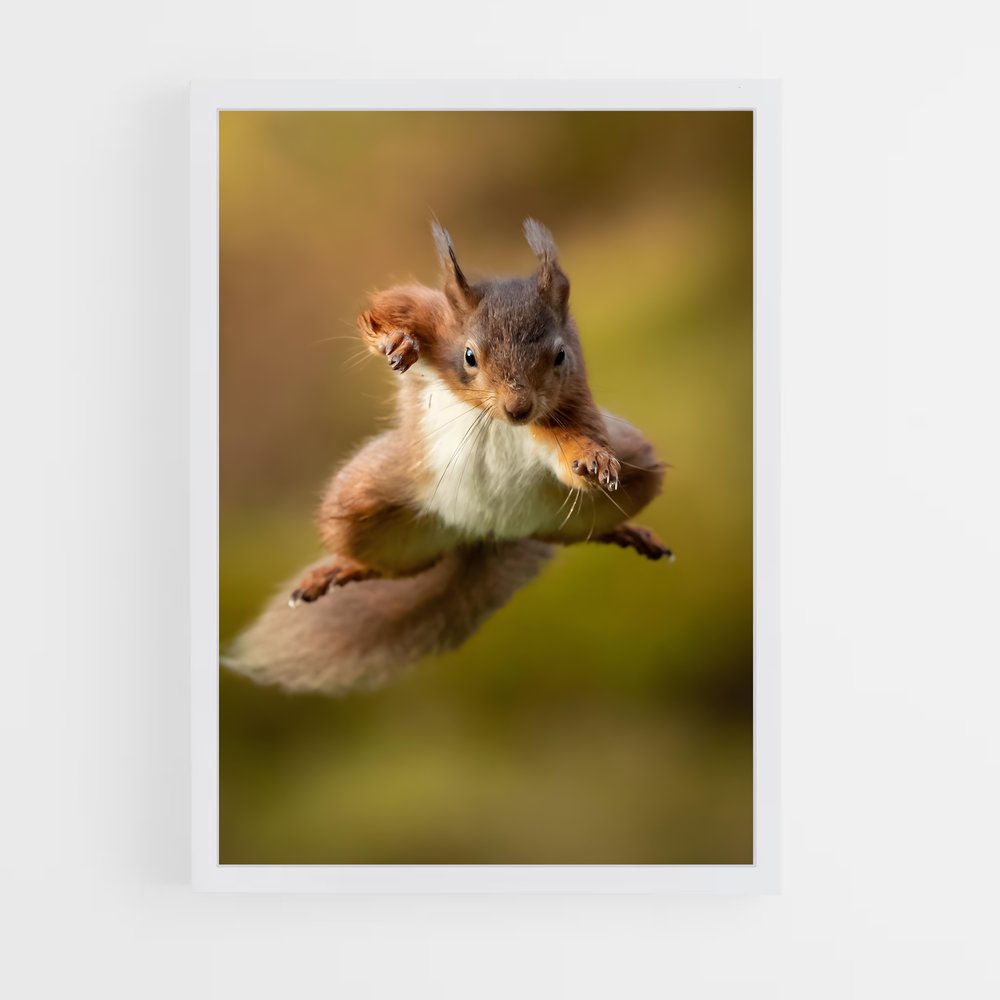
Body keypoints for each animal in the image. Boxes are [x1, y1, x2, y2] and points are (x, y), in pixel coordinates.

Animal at [223, 219, 671, 694]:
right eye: (470, 356)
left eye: (561, 356)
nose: (518, 410)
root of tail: (487, 533)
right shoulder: (431, 314)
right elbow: (388, 307)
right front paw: (397, 341)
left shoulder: (573, 406)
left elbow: (575, 447)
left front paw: (594, 458)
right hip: (359, 506)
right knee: (390, 564)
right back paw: (340, 570)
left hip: (633, 473)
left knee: (567, 533)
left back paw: (622, 531)